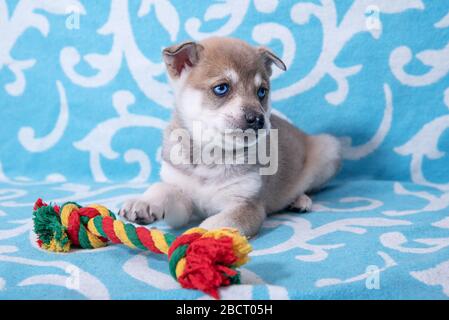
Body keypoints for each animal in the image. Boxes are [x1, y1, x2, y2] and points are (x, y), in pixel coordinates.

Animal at [119, 37, 340, 238]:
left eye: (262, 92)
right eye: (221, 88)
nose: (257, 119)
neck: (210, 156)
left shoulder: (246, 205)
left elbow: (215, 223)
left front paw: (199, 238)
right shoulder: (183, 201)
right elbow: (163, 188)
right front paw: (144, 202)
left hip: (328, 150)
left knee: (308, 186)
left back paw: (300, 200)